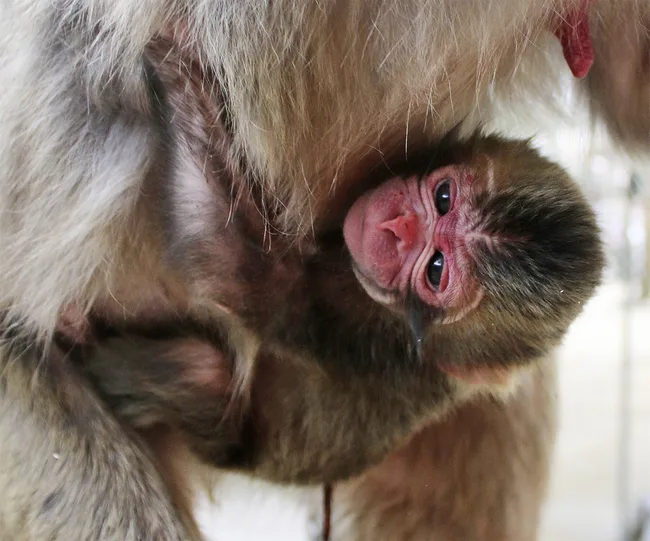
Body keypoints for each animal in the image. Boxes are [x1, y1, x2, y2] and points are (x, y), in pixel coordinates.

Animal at [0, 0, 647, 540]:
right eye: (442, 197)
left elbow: (234, 269)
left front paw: (179, 81)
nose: (396, 227)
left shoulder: (349, 315)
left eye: (435, 269)